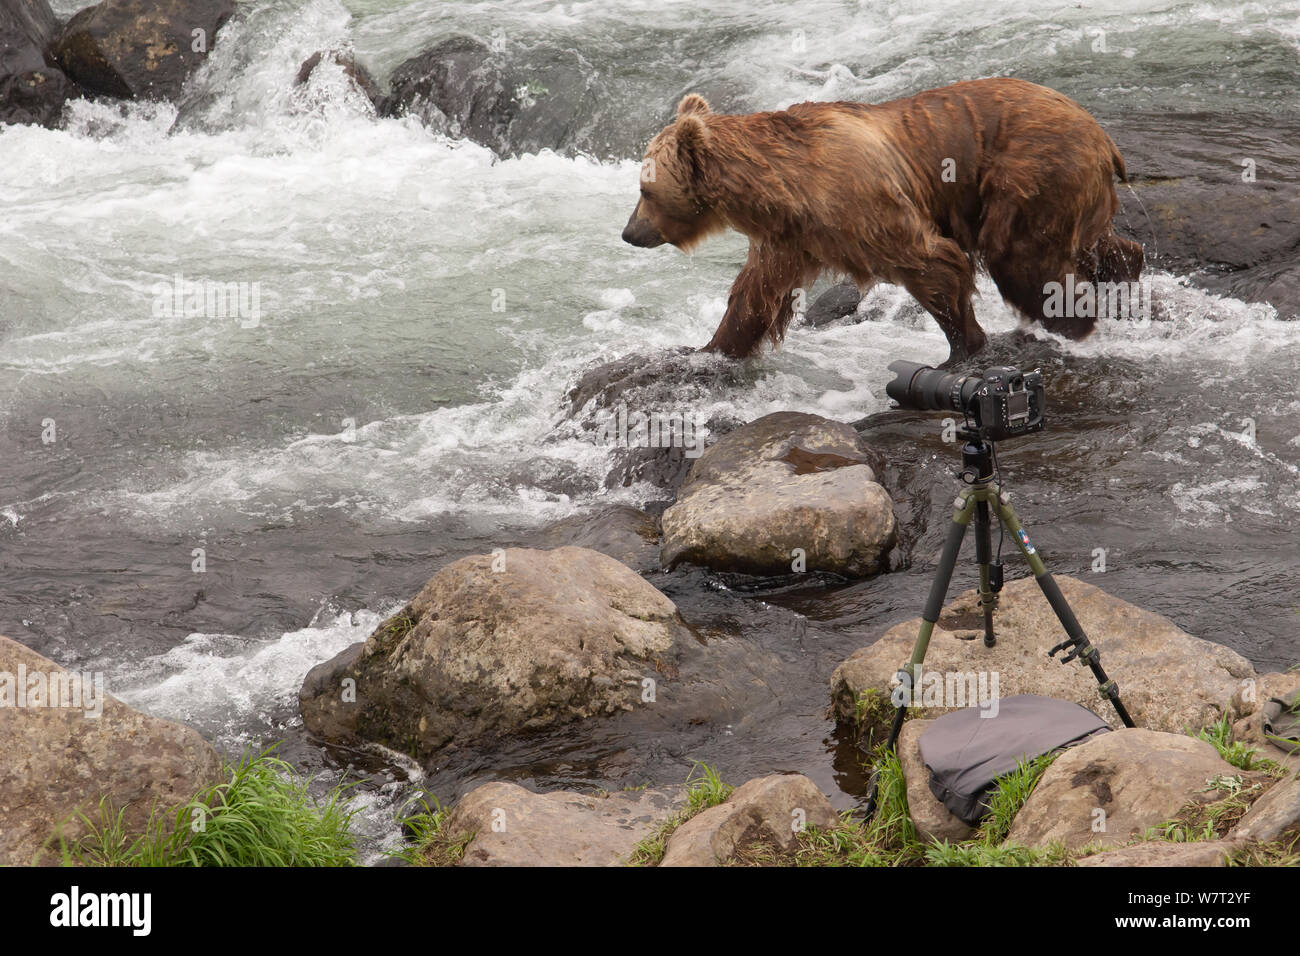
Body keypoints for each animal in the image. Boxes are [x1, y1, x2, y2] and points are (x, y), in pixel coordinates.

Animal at [624, 76, 1144, 361]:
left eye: (645, 190)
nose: (630, 233)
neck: (784, 189)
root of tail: (1100, 131)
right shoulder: (791, 238)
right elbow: (755, 294)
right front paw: (712, 349)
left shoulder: (859, 202)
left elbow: (933, 262)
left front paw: (962, 346)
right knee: (1099, 244)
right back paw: (1126, 271)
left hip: (1029, 170)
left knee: (1019, 255)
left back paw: (1072, 325)